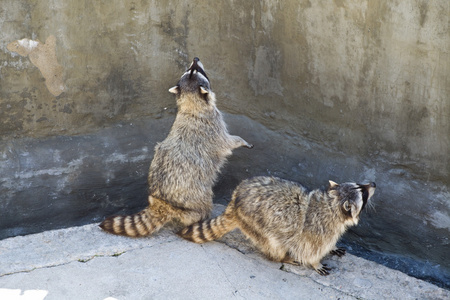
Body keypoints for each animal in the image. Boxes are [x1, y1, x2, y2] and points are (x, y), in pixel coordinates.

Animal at [99, 57, 253, 237]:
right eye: (196, 71)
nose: (195, 59)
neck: (191, 103)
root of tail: (161, 203)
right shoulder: (214, 127)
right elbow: (227, 142)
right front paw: (241, 141)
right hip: (194, 195)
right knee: (200, 206)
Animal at [178, 176, 374, 276]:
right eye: (363, 192)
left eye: (360, 185)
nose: (373, 183)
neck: (331, 204)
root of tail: (234, 203)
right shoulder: (319, 230)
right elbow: (310, 250)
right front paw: (315, 262)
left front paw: (332, 247)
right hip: (256, 225)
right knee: (274, 244)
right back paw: (282, 257)